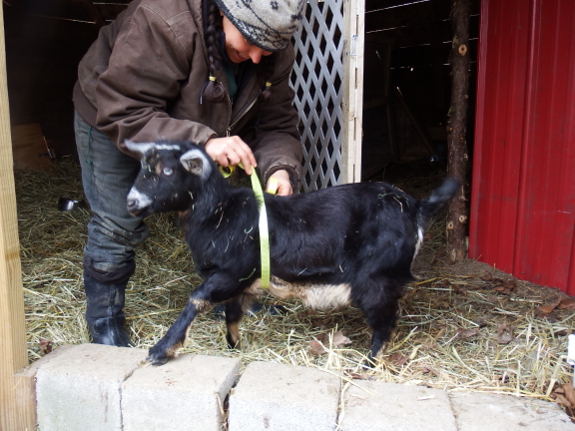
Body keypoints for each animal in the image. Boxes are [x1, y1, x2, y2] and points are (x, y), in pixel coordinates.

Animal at [126, 142, 460, 364]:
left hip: (377, 278)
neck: (222, 213)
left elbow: (196, 300)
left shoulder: (231, 272)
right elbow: (232, 314)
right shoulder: (238, 281)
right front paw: (234, 346)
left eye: (167, 170)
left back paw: (369, 363)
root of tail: (416, 207)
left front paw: (162, 349)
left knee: (384, 323)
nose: (131, 202)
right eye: (143, 168)